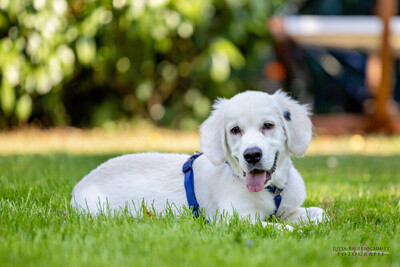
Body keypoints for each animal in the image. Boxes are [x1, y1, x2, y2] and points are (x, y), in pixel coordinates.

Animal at [71, 91, 324, 227]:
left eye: (268, 125)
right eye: (235, 130)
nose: (252, 155)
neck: (271, 191)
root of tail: (78, 185)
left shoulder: (288, 210)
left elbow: (320, 214)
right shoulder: (233, 219)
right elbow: (278, 229)